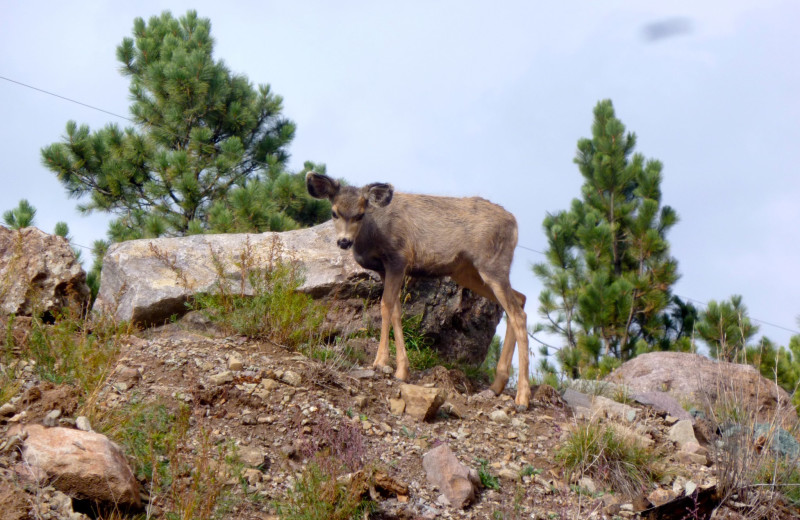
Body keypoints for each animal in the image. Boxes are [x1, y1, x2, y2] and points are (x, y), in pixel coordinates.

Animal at [306, 173, 532, 408]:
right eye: (334, 212)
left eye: (360, 214)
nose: (344, 241)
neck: (372, 234)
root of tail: (514, 223)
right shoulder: (385, 269)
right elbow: (395, 310)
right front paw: (401, 370)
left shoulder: (398, 258)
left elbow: (385, 306)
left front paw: (380, 362)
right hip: (467, 271)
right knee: (519, 299)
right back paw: (497, 385)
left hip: (492, 265)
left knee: (518, 314)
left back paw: (522, 397)